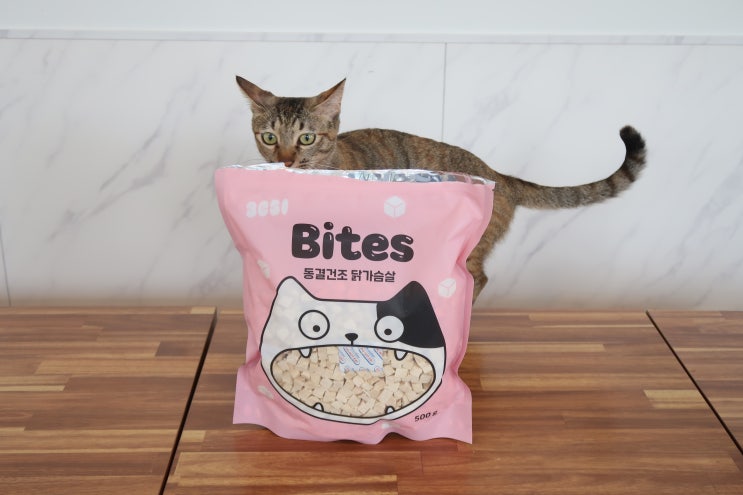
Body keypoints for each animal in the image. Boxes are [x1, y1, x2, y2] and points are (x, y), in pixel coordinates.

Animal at [236, 76, 647, 301]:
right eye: (269, 137)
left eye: (306, 138)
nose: (286, 161)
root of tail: (496, 173)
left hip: (469, 252)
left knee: (478, 278)